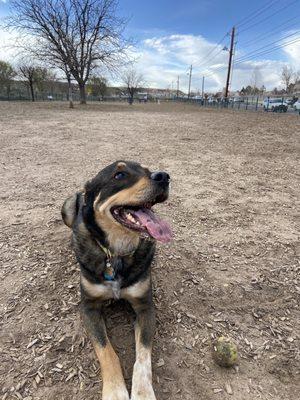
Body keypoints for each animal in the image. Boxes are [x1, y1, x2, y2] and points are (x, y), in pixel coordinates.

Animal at [61, 161, 171, 398]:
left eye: (148, 171)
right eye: (119, 175)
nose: (164, 176)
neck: (116, 253)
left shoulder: (145, 306)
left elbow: (143, 357)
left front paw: (143, 393)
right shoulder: (89, 307)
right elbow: (107, 352)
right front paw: (115, 392)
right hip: (67, 208)